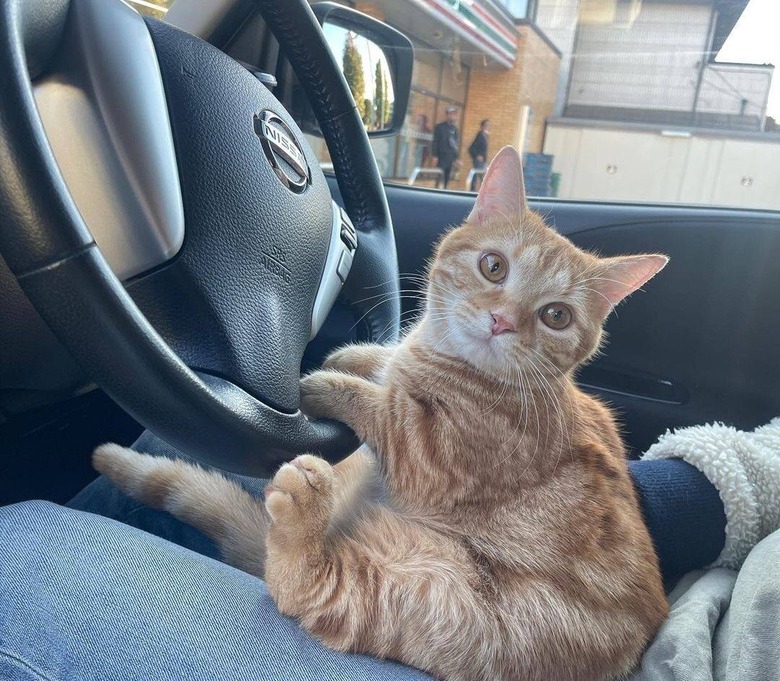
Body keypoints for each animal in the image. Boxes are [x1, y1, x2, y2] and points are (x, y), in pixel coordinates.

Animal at [96, 146, 672, 676]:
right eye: (494, 266)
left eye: (556, 316)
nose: (503, 321)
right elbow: (385, 363)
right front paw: (354, 357)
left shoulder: (428, 454)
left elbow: (382, 405)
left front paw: (325, 381)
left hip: (440, 598)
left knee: (308, 588)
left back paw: (303, 515)